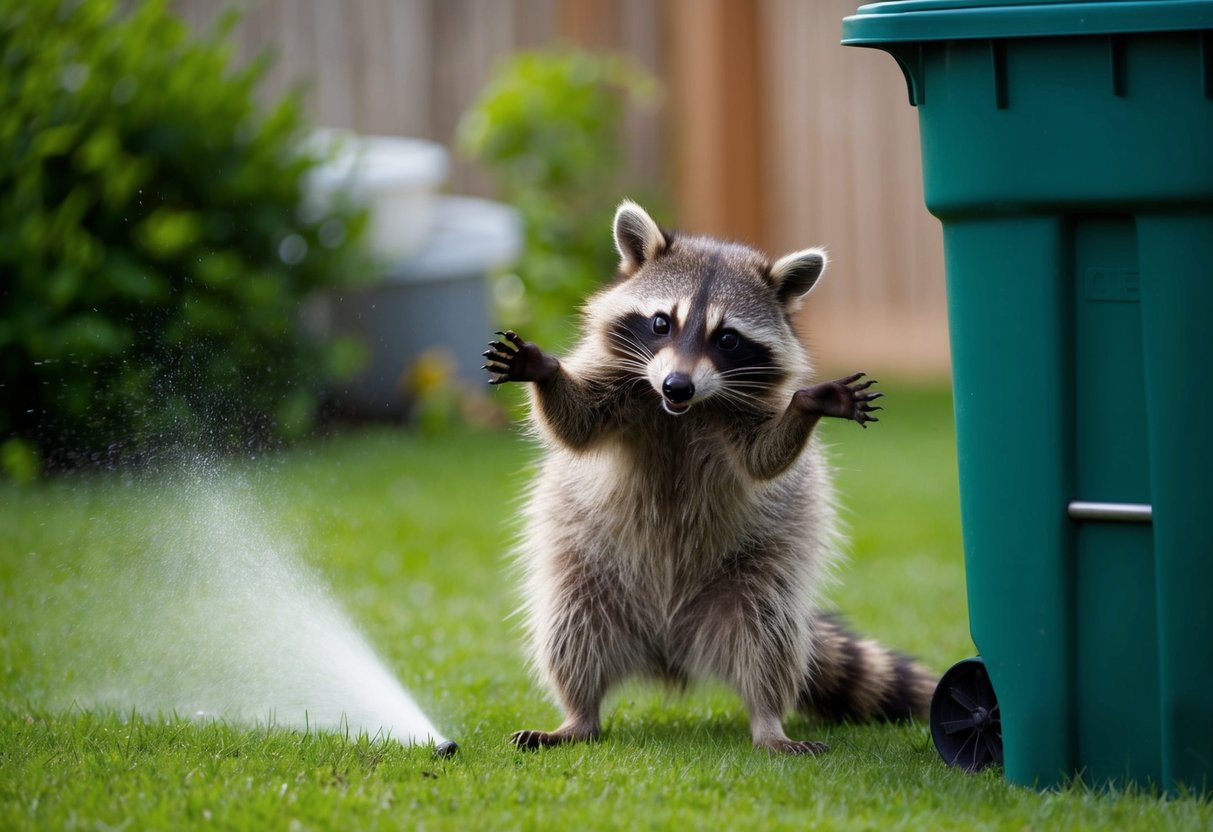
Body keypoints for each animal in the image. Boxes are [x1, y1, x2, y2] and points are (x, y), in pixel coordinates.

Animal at [483, 201, 936, 754]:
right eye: (661, 322)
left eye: (727, 339)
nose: (677, 385)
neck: (682, 410)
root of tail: (671, 647)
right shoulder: (619, 387)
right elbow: (577, 426)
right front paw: (544, 369)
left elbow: (764, 461)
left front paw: (807, 405)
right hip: (586, 572)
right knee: (572, 632)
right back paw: (578, 715)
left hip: (755, 580)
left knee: (768, 639)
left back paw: (768, 722)